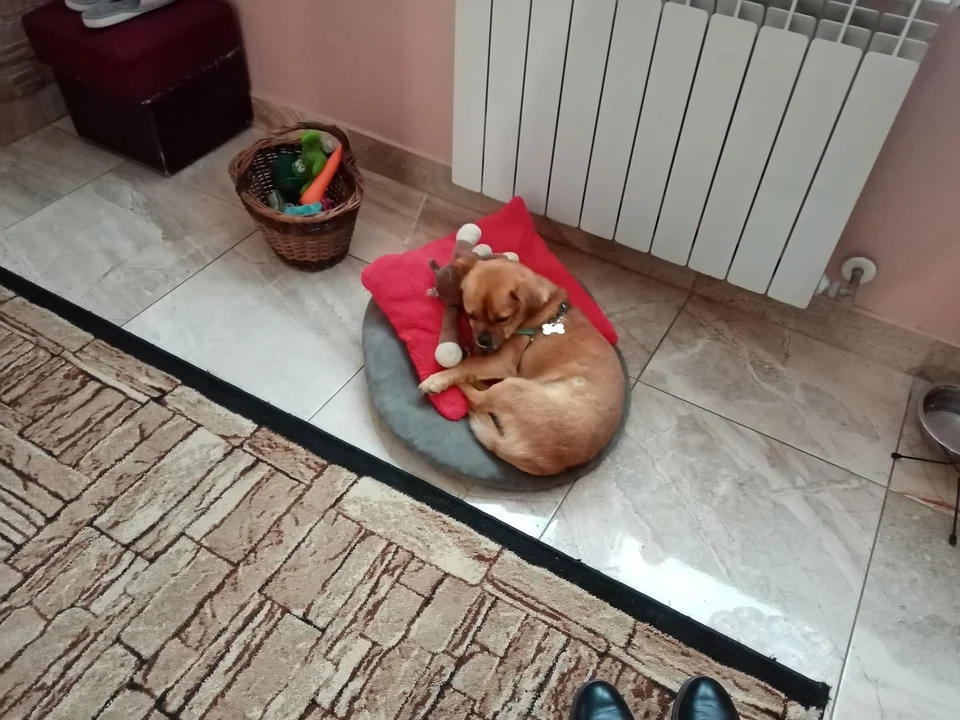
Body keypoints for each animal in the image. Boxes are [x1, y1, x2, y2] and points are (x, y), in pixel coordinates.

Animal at [419, 257, 624, 476]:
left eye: (502, 319)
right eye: (471, 315)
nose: (483, 341)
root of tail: (543, 463)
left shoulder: (500, 361)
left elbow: (466, 366)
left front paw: (439, 378)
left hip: (514, 386)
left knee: (478, 400)